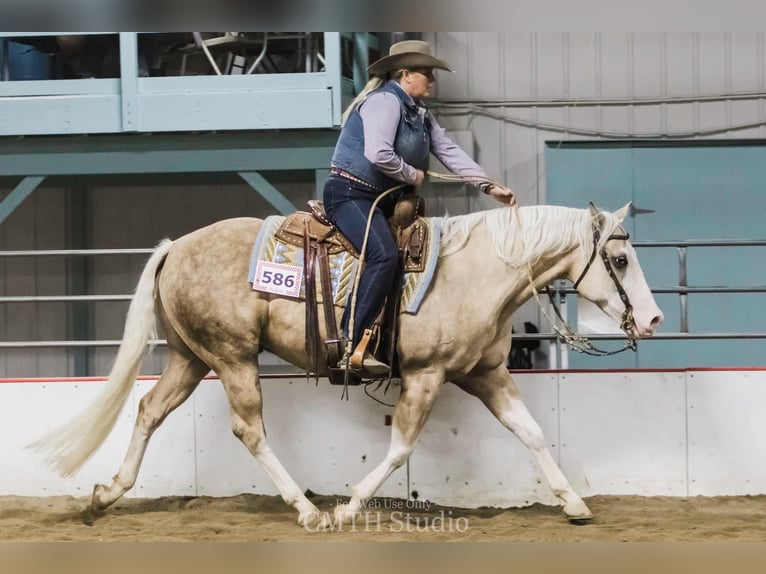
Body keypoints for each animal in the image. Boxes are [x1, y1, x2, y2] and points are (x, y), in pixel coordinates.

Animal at [31, 204, 664, 532]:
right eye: (619, 258)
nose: (655, 318)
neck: (480, 271)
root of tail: (174, 247)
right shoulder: (426, 376)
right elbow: (401, 448)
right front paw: (350, 506)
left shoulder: (485, 373)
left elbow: (530, 432)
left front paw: (574, 504)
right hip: (232, 357)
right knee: (249, 429)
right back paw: (308, 510)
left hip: (191, 358)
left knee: (148, 409)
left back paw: (106, 495)